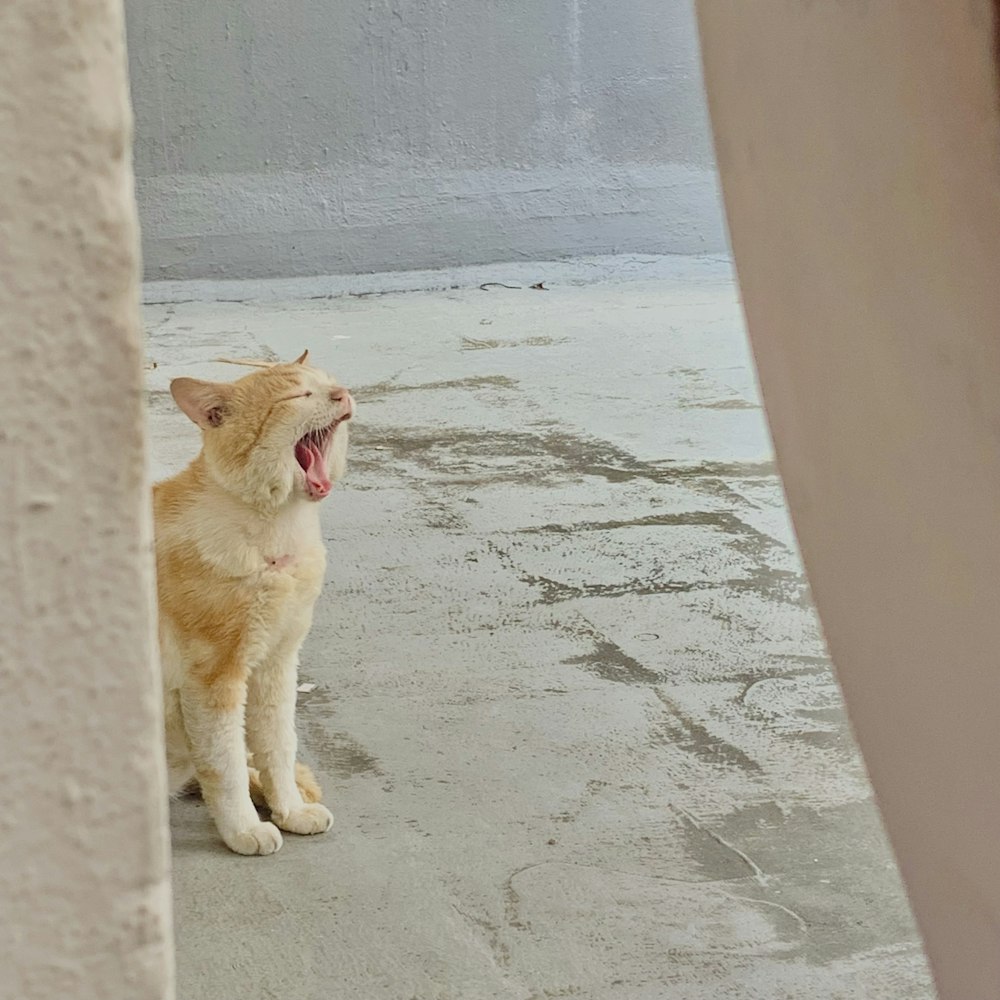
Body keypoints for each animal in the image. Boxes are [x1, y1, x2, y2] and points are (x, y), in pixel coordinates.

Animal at [154, 350, 354, 852]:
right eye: (297, 394)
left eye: (328, 382)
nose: (343, 394)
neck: (276, 529)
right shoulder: (213, 680)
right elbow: (223, 765)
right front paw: (243, 829)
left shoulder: (276, 666)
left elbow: (277, 746)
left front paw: (290, 809)